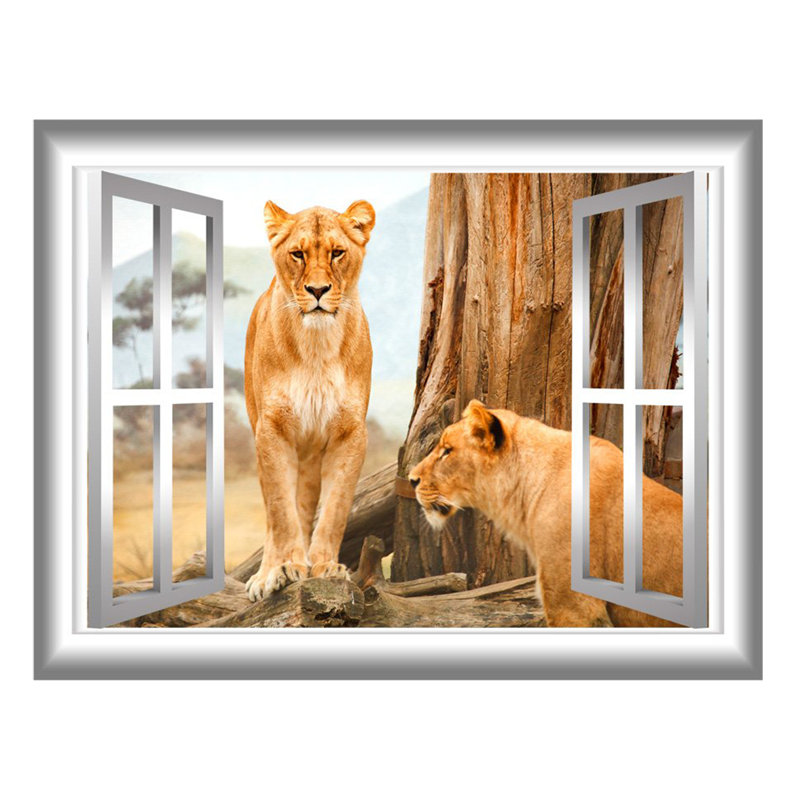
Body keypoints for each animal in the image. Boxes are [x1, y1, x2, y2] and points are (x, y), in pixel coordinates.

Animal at [243, 199, 375, 601]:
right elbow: (281, 513)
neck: (317, 345)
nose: (317, 290)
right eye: (298, 254)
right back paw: (267, 574)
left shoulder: (350, 433)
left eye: (337, 253)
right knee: (273, 513)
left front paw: (326, 566)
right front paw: (285, 568)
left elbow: (334, 509)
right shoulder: (272, 430)